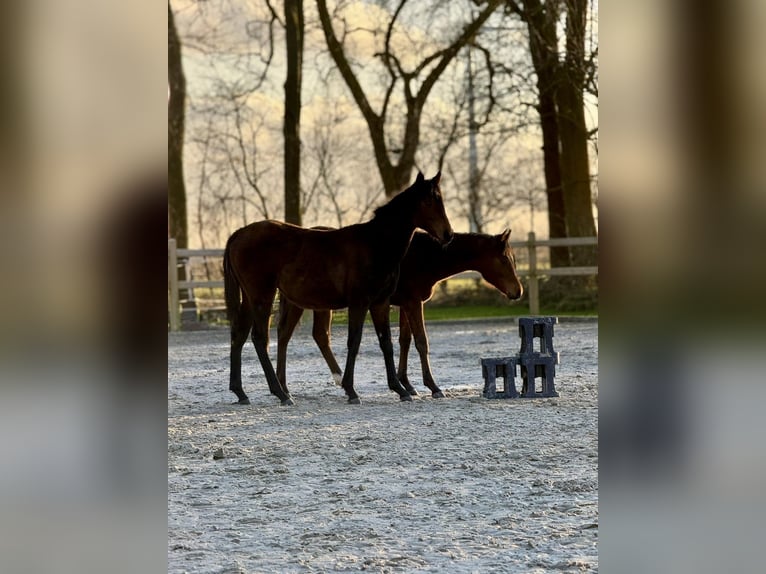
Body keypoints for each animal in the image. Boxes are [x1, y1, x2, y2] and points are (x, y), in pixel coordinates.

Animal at [222, 173, 452, 408]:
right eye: (429, 201)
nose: (448, 234)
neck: (375, 244)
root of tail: (238, 234)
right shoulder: (359, 302)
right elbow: (354, 341)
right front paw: (351, 390)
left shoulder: (380, 302)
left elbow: (385, 342)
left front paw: (399, 389)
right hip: (262, 296)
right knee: (260, 338)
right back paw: (281, 393)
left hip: (250, 298)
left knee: (239, 335)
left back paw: (241, 392)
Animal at [280, 230, 524, 400]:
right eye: (505, 259)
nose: (518, 291)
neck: (423, 256)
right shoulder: (413, 303)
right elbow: (421, 342)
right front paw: (432, 386)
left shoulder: (406, 305)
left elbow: (405, 341)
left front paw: (406, 383)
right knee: (293, 336)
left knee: (311, 336)